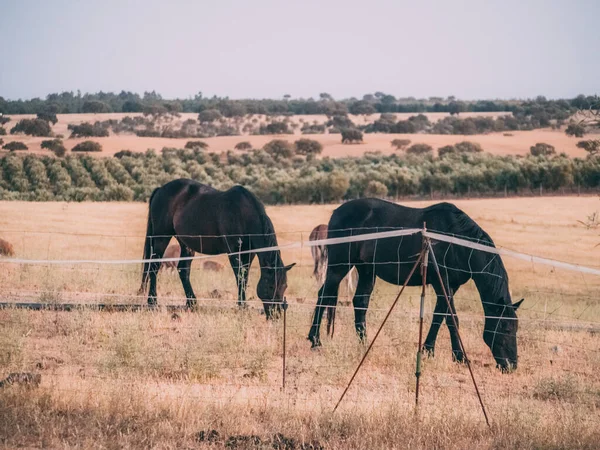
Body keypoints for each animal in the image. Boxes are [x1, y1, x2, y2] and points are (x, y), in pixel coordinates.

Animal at [137, 179, 296, 316]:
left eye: (285, 286)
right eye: (271, 286)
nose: (276, 314)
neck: (244, 213)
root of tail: (160, 189)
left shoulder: (249, 253)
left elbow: (245, 276)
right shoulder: (233, 251)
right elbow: (240, 276)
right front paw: (242, 306)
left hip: (186, 244)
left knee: (183, 270)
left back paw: (192, 303)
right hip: (161, 237)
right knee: (154, 267)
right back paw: (152, 302)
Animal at [310, 199, 524, 370]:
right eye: (505, 329)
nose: (511, 365)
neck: (456, 240)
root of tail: (336, 213)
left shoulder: (450, 286)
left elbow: (439, 316)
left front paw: (429, 350)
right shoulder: (441, 281)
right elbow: (452, 319)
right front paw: (460, 357)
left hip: (366, 269)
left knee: (360, 302)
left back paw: (363, 344)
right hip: (339, 266)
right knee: (324, 295)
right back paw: (315, 340)